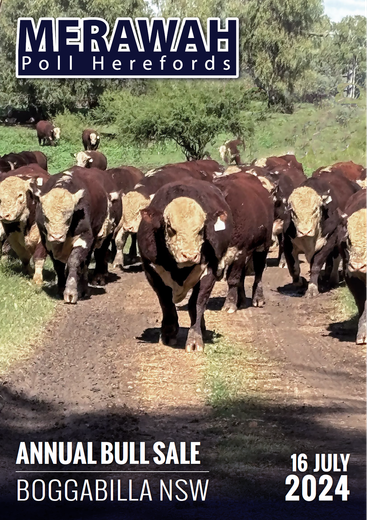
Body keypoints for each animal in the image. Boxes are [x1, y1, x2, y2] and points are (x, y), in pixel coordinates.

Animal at [138, 180, 233, 354]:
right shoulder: (151, 271)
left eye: (201, 229)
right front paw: (168, 333)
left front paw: (195, 339)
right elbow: (166, 302)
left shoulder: (210, 270)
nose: (189, 255)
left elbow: (197, 304)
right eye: (170, 227)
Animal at [214, 173, 274, 314]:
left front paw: (229, 305)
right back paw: (241, 300)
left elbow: (233, 279)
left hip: (262, 247)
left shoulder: (239, 252)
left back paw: (258, 298)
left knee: (258, 272)